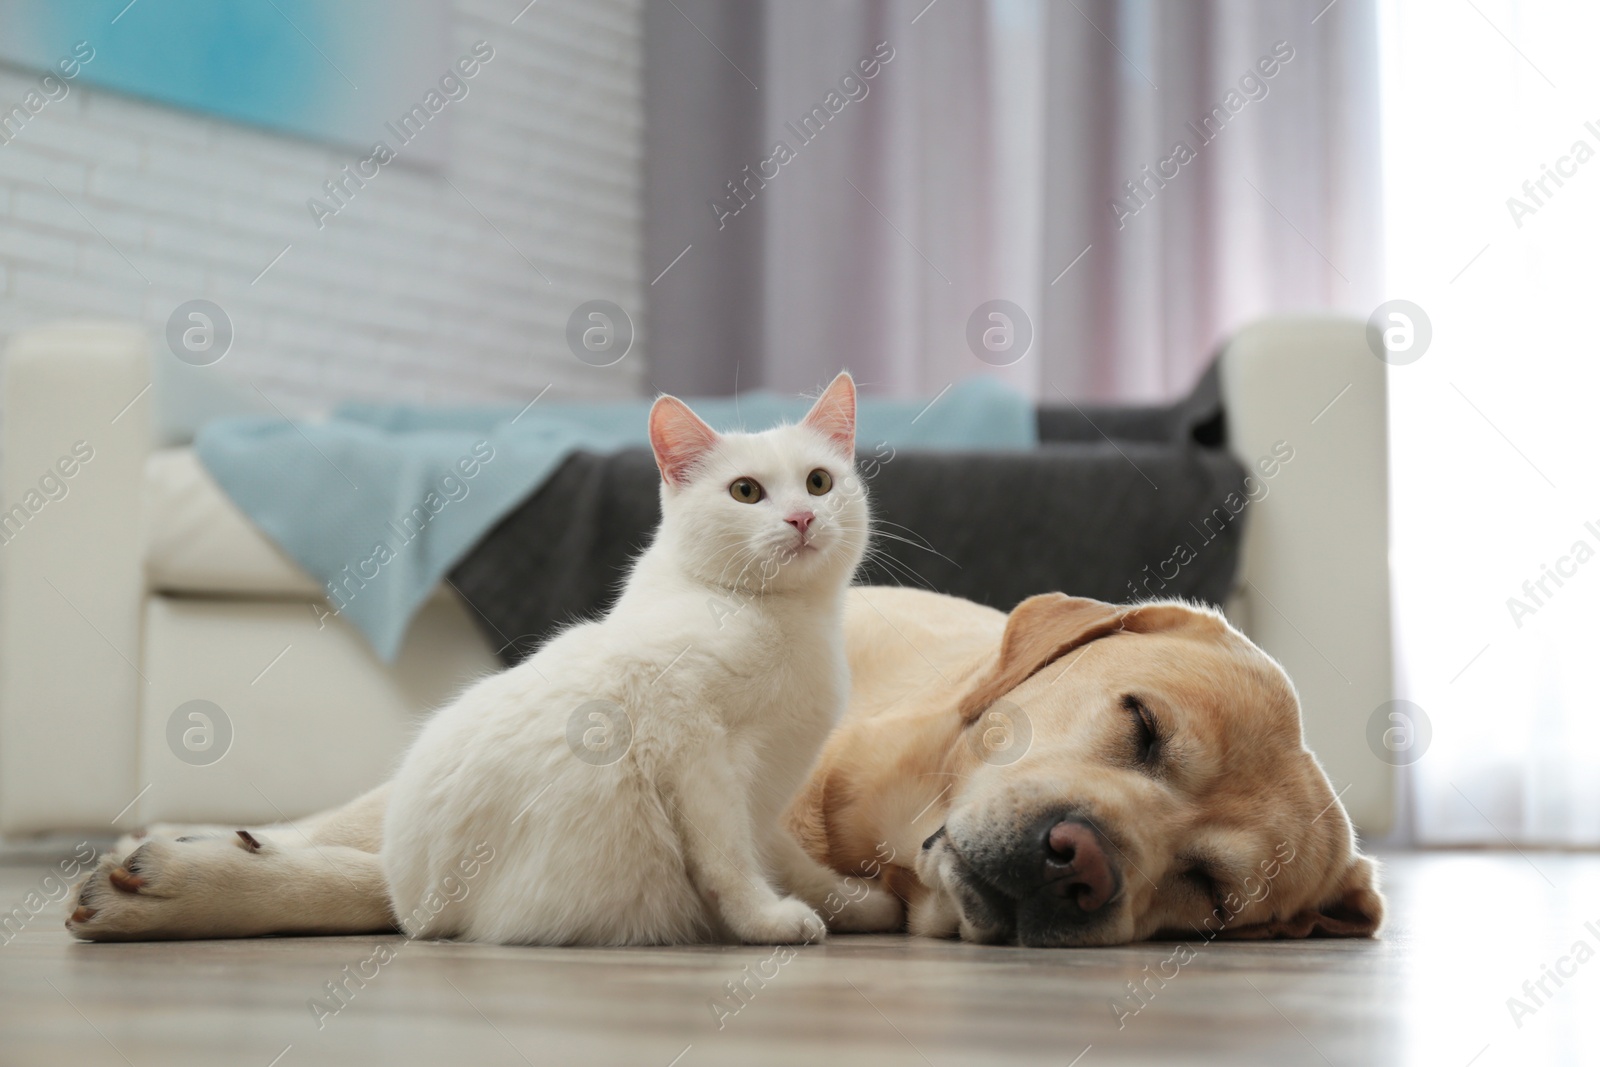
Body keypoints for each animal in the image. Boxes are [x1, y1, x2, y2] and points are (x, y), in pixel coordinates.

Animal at [377, 374, 902, 940]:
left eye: (819, 482)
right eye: (745, 491)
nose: (802, 517)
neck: (777, 612)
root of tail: (413, 909)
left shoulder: (763, 804)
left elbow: (791, 859)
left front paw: (858, 903)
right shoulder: (692, 747)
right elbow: (728, 858)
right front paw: (763, 918)